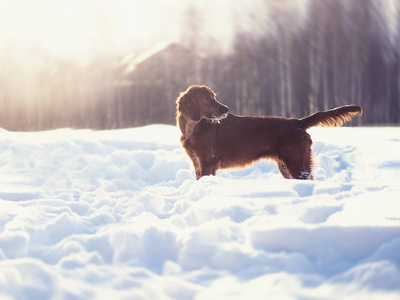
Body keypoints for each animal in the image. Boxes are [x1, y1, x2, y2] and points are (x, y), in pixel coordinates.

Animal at [176, 84, 362, 180]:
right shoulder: (198, 164)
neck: (194, 127)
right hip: (285, 166)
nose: (226, 109)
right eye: (205, 98)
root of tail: (298, 122)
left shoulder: (207, 164)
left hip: (296, 162)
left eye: (213, 96)